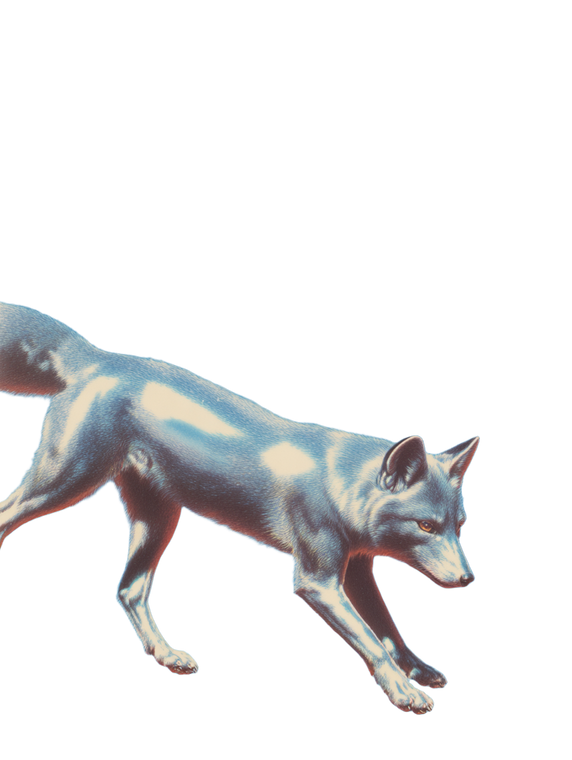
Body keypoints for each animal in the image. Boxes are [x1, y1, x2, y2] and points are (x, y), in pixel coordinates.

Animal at [0, 298, 481, 716]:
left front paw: (419, 672)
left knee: (128, 589)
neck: (339, 484)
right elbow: (373, 641)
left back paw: (167, 656)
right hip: (66, 483)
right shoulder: (317, 582)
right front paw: (405, 693)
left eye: (460, 526)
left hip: (159, 520)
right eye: (425, 525)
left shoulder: (357, 571)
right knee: (7, 513)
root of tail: (96, 357)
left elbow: (390, 630)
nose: (467, 580)